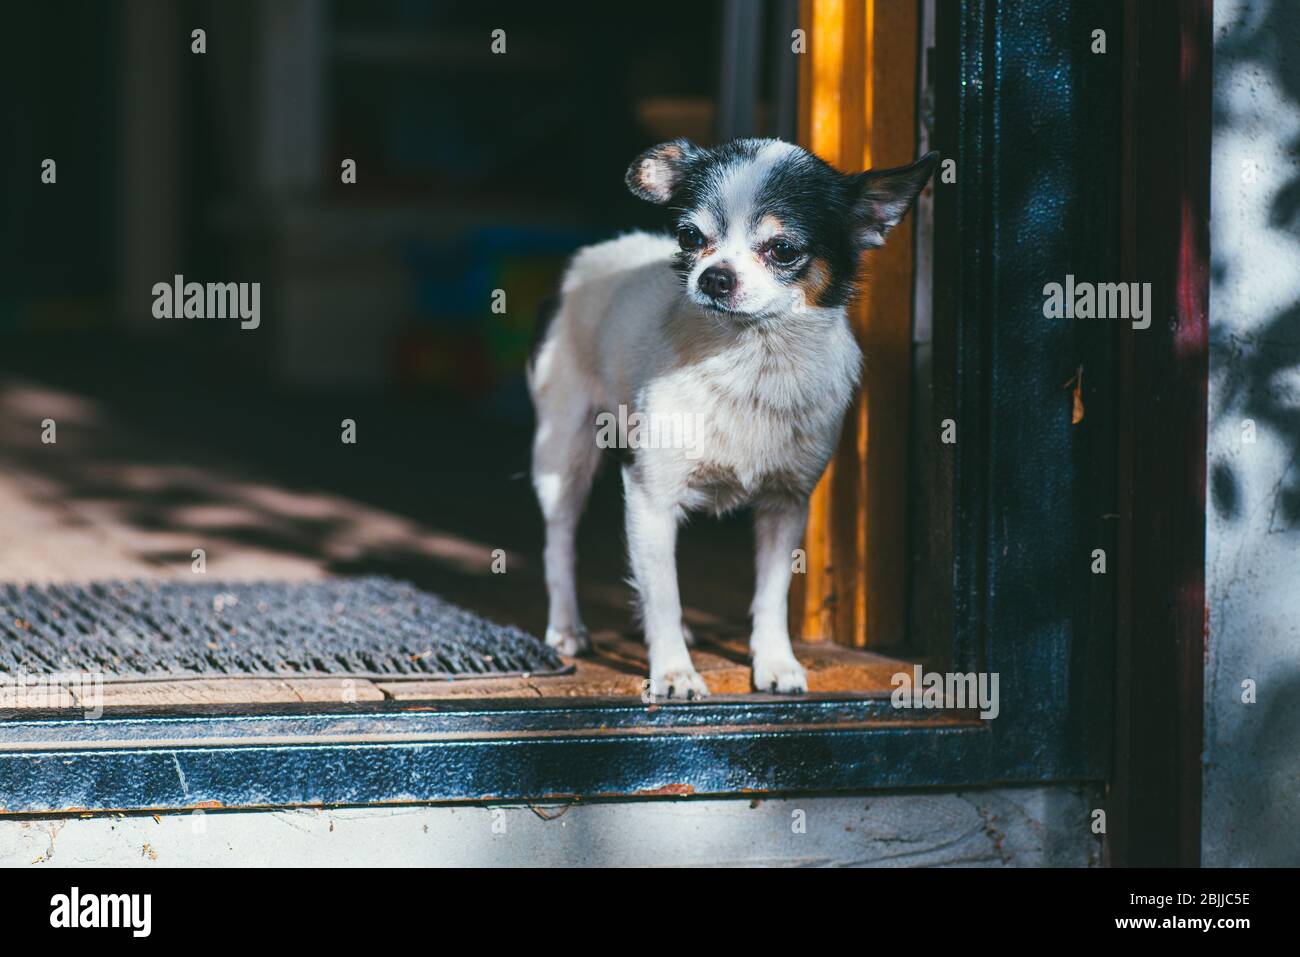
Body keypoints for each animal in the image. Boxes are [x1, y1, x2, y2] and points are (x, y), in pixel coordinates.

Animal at [527, 136, 935, 696]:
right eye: (689, 236)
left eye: (783, 250)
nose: (714, 276)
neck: (753, 358)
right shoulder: (650, 497)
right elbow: (663, 593)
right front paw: (673, 671)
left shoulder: (786, 504)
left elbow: (770, 594)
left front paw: (775, 662)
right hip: (564, 454)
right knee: (560, 543)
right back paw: (567, 628)